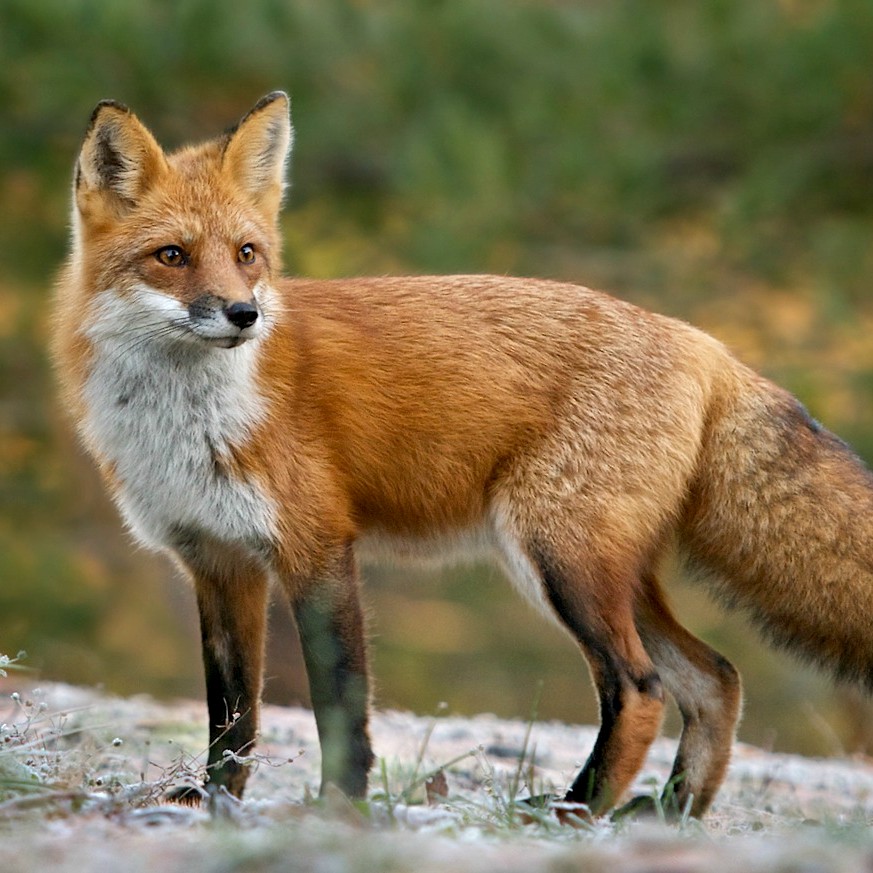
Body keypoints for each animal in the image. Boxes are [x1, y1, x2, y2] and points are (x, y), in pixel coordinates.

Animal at [51, 91, 873, 819]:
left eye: (247, 254)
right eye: (172, 256)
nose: (244, 314)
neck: (189, 423)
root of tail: (705, 344)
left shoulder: (317, 547)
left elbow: (339, 705)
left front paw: (339, 806)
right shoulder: (218, 562)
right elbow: (232, 720)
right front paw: (219, 803)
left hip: (558, 560)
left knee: (642, 687)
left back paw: (573, 811)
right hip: (605, 572)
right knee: (716, 680)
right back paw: (670, 814)